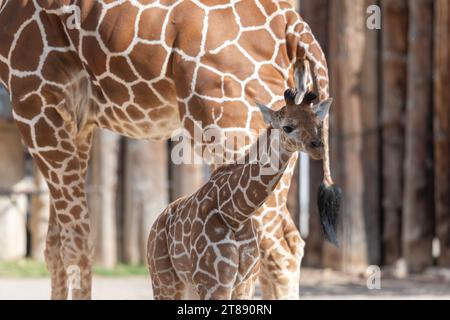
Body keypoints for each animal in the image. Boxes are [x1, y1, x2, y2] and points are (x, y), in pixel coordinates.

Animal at [147, 88, 330, 300]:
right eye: (287, 127)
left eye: (318, 124)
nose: (318, 147)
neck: (237, 213)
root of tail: (155, 224)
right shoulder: (214, 283)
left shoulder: (245, 283)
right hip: (164, 281)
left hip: (188, 286)